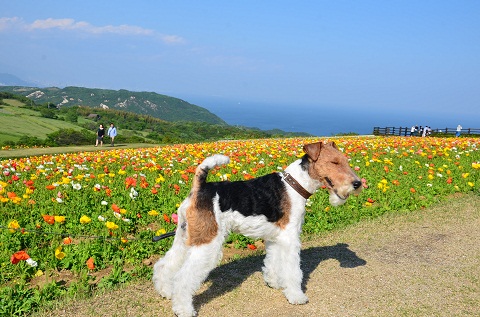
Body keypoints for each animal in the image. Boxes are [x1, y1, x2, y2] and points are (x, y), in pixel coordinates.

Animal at [153, 141, 360, 316]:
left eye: (345, 161)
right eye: (334, 162)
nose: (357, 184)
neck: (295, 185)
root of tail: (199, 187)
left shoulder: (276, 237)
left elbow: (273, 262)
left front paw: (273, 282)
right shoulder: (291, 238)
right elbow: (293, 270)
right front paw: (296, 296)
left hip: (185, 236)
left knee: (165, 265)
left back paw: (166, 291)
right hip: (207, 242)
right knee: (183, 277)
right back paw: (184, 309)